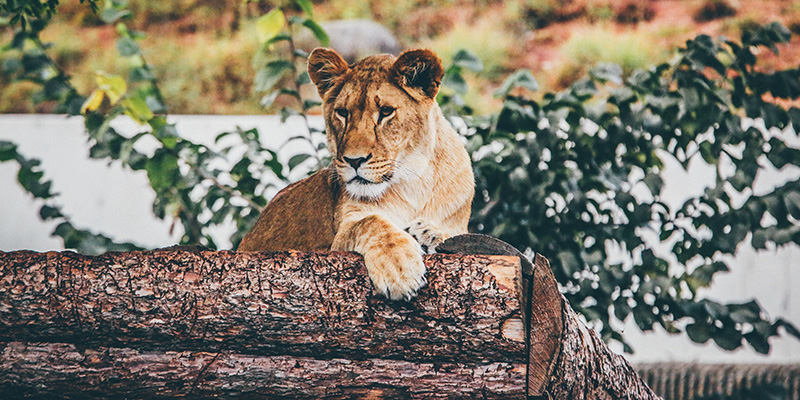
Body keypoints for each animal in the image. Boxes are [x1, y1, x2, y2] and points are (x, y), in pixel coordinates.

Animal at [238, 47, 476, 300]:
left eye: (386, 112)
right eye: (342, 113)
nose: (354, 160)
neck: (413, 180)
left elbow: (454, 235)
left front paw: (429, 233)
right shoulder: (337, 239)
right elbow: (371, 222)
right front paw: (399, 269)